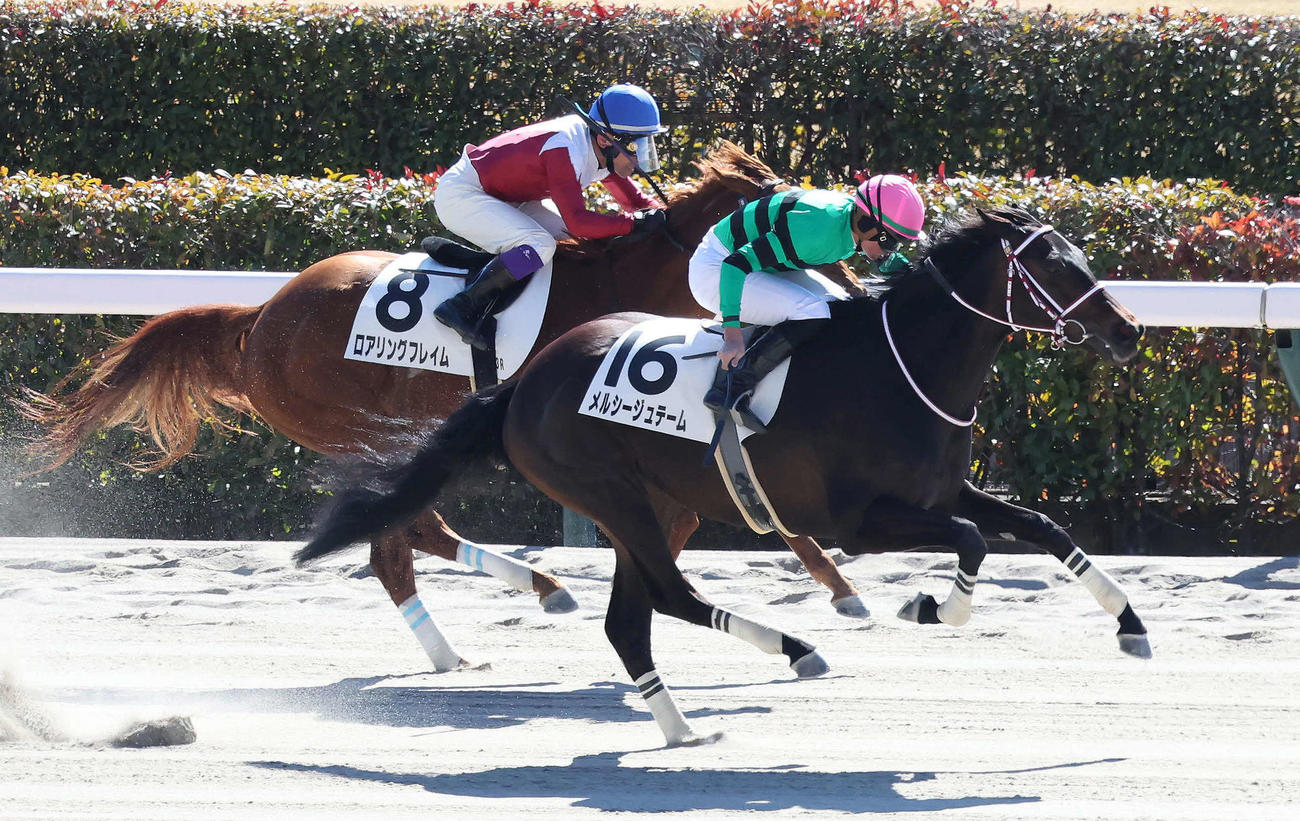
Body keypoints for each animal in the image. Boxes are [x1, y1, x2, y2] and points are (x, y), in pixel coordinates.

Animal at [16, 142, 869, 672]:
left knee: (409, 537)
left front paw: (843, 591)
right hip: (350, 425)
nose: (851, 293)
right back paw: (506, 612)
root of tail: (260, 317)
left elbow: (752, 507)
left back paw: (496, 619)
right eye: (788, 227)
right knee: (400, 541)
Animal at [296, 207, 1149, 746]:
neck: (902, 366)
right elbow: (972, 539)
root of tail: (522, 381)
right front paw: (934, 606)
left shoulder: (938, 493)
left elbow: (1042, 525)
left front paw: (1130, 624)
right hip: (615, 497)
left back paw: (683, 727)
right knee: (667, 596)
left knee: (632, 617)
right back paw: (786, 654)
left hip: (649, 502)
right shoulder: (860, 520)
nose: (1128, 330)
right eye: (1051, 267)